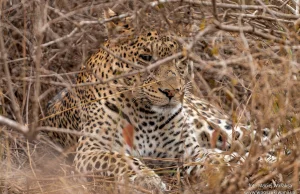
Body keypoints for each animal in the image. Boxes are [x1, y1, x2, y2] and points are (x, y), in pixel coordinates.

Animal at [41, 8, 276, 192]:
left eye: (179, 58)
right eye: (146, 58)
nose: (172, 92)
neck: (146, 114)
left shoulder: (189, 150)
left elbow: (221, 159)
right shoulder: (90, 149)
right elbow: (123, 158)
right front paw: (147, 178)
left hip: (218, 128)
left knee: (259, 137)